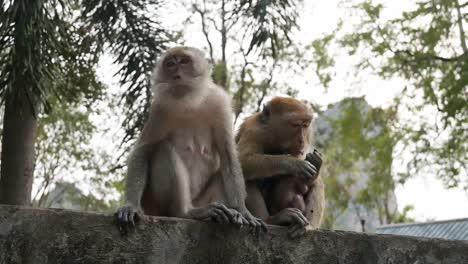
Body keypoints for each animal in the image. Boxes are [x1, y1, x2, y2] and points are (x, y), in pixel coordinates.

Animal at [115, 47, 266, 233]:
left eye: (184, 61)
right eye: (170, 64)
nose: (176, 75)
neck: (191, 104)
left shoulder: (220, 103)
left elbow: (228, 155)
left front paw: (243, 211)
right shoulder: (160, 108)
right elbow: (143, 150)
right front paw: (130, 206)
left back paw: (225, 214)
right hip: (156, 202)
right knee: (163, 148)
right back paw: (186, 212)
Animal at [236, 97, 324, 237]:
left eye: (305, 125)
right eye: (295, 125)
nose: (301, 140)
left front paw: (315, 162)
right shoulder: (254, 131)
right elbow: (242, 160)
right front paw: (294, 164)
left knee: (317, 183)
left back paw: (309, 225)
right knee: (246, 176)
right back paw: (270, 219)